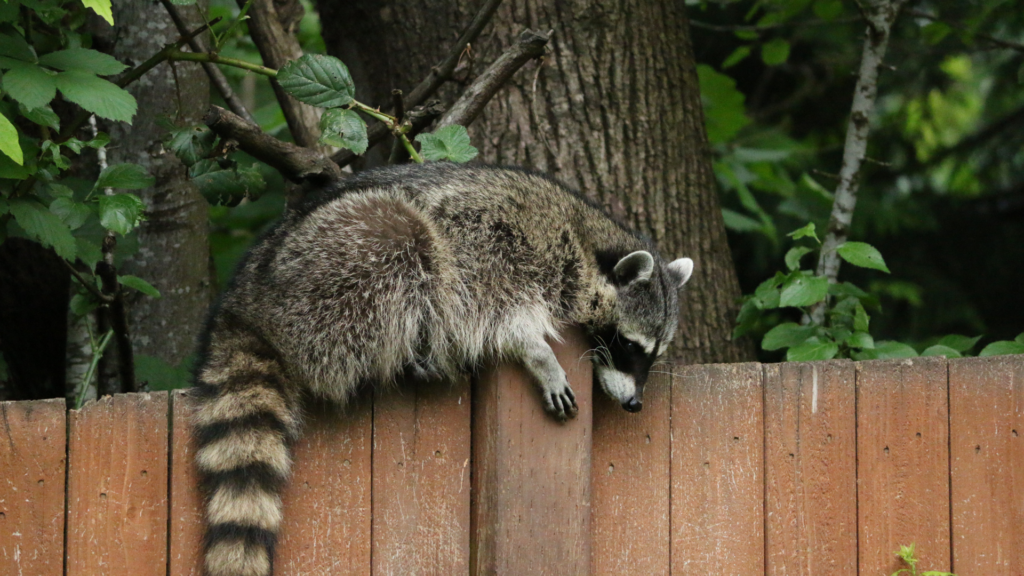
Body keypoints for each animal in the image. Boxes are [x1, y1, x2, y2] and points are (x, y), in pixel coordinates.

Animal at [192, 163, 693, 576]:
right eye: (628, 344)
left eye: (653, 354)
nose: (634, 403)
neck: (585, 240)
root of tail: (246, 298)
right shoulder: (490, 239)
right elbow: (489, 311)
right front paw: (535, 351)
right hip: (333, 267)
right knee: (404, 244)